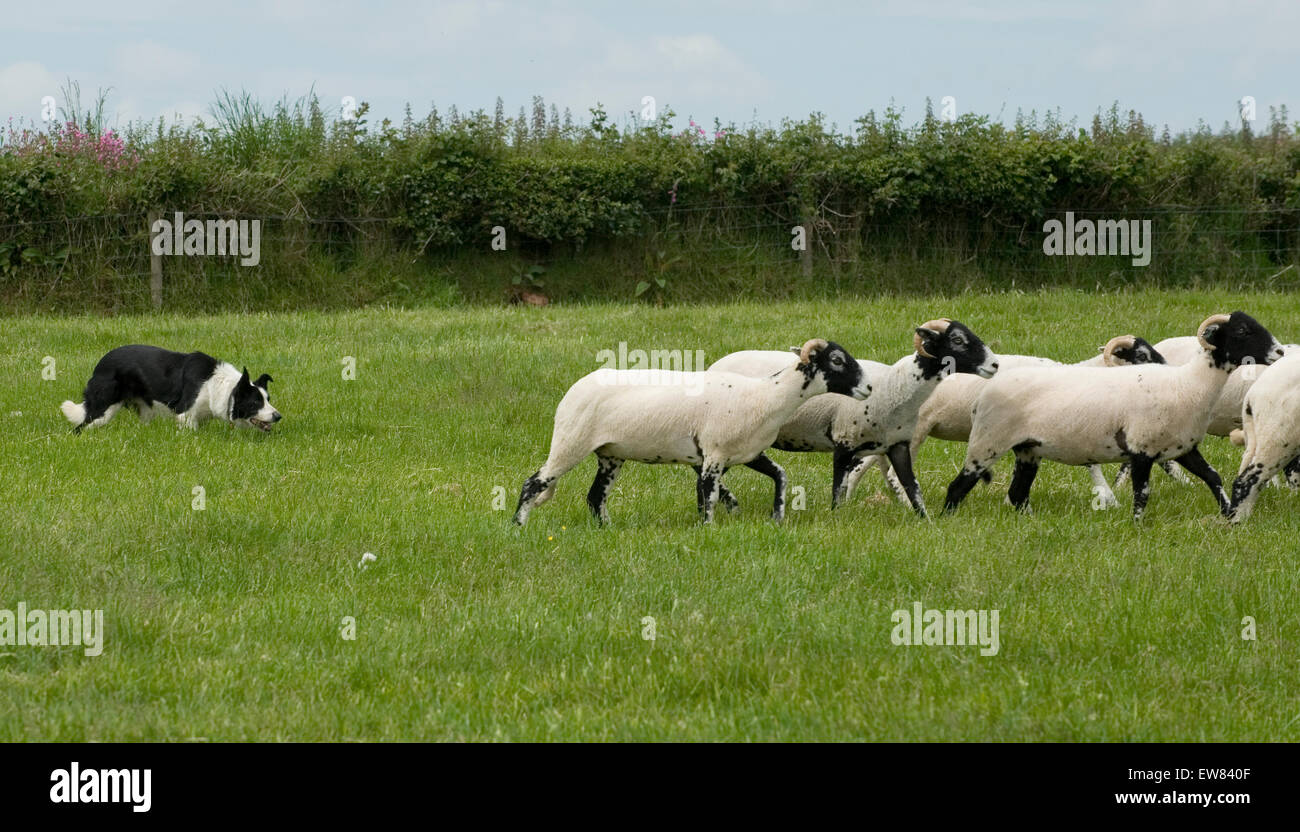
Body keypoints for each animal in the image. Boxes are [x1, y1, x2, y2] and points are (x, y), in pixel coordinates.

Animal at [512, 339, 869, 526]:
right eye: (837, 360)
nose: (868, 388)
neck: (765, 395)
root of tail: (573, 391)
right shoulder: (713, 453)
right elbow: (708, 495)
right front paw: (708, 528)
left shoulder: (745, 452)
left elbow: (778, 475)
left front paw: (776, 516)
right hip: (571, 441)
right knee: (534, 483)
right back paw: (518, 525)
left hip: (610, 454)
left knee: (595, 495)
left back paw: (607, 530)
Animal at [706, 319, 999, 517]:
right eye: (957, 340)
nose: (995, 364)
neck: (894, 387)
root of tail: (712, 367)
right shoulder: (843, 441)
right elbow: (838, 490)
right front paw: (836, 519)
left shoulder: (897, 445)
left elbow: (912, 487)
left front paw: (925, 521)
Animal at [852, 335, 1169, 509]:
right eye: (1142, 354)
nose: (1169, 370)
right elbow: (1090, 464)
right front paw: (1109, 498)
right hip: (917, 429)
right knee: (887, 471)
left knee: (869, 463)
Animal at [943, 312, 1284, 521]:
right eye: (1242, 330)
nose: (1280, 352)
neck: (1188, 384)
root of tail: (982, 396)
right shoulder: (1142, 449)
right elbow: (1142, 492)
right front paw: (1137, 525)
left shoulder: (1181, 447)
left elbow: (1212, 477)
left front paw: (1228, 513)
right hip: (987, 442)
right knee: (958, 486)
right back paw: (946, 518)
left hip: (1027, 449)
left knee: (1017, 494)